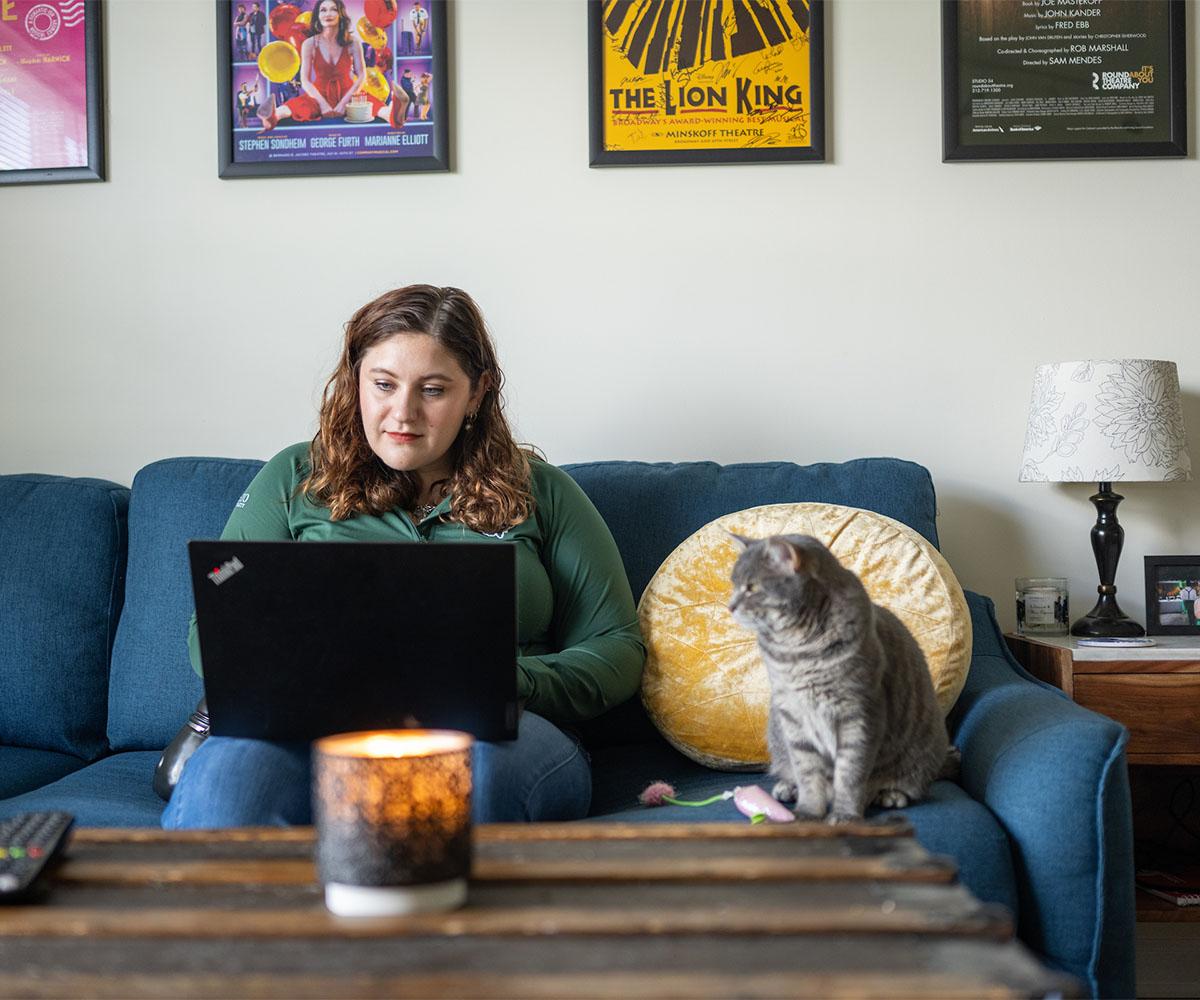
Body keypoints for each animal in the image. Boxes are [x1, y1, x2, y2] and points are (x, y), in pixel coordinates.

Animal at [724, 530, 950, 821]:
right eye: (734, 585)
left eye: (751, 587)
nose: (729, 607)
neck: (797, 651)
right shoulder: (793, 715)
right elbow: (808, 771)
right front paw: (807, 812)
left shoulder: (858, 713)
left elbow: (850, 774)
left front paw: (845, 816)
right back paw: (787, 788)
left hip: (921, 752)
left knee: (912, 785)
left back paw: (891, 795)